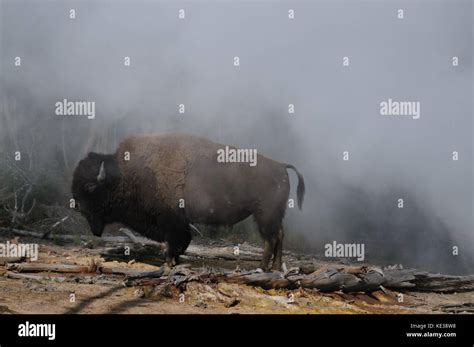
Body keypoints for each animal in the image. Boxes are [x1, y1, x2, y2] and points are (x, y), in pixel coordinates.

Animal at [72, 134, 306, 272]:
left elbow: (177, 241)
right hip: (273, 216)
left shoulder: (172, 220)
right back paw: (275, 267)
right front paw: (174, 260)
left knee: (270, 239)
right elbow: (181, 242)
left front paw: (169, 261)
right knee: (279, 236)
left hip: (264, 215)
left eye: (90, 188)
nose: (77, 207)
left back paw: (263, 267)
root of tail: (280, 166)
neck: (126, 173)